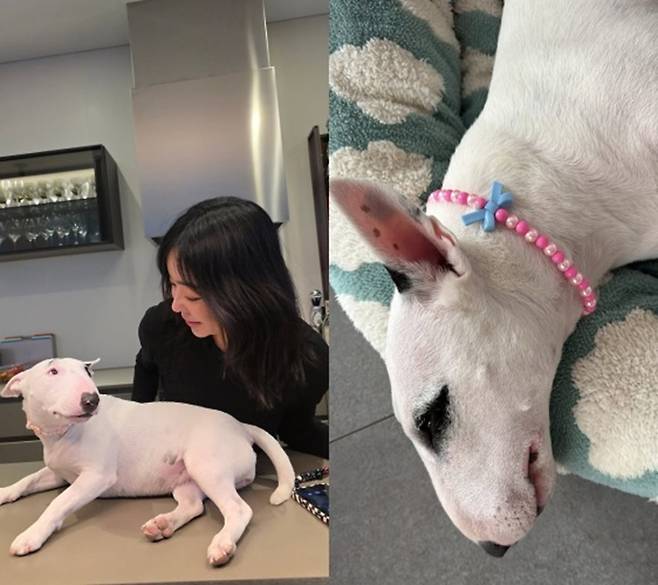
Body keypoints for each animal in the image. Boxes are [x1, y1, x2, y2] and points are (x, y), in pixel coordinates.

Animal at [0, 358, 295, 566]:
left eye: (87, 373)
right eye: (53, 371)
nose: (92, 400)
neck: (61, 433)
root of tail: (242, 427)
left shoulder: (96, 477)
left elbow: (58, 503)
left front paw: (32, 534)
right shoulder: (58, 473)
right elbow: (27, 480)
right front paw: (5, 492)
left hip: (206, 467)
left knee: (238, 509)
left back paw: (222, 544)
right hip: (187, 481)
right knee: (193, 506)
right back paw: (163, 525)